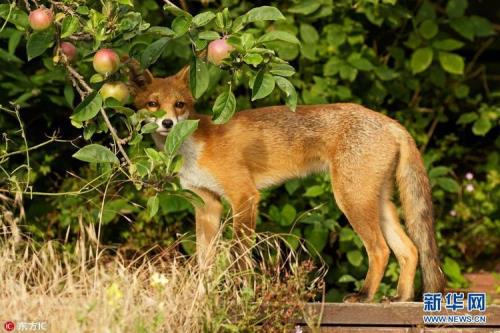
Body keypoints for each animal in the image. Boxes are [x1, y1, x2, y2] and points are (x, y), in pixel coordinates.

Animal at [128, 61, 446, 302]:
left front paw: (241, 293)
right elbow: (204, 260)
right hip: (376, 201)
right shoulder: (207, 203)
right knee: (411, 250)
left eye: (179, 104)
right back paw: (401, 298)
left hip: (351, 199)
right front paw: (202, 297)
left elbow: (239, 253)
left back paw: (365, 296)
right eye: (153, 104)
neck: (195, 147)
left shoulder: (244, 195)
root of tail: (392, 122)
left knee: (380, 250)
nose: (167, 123)